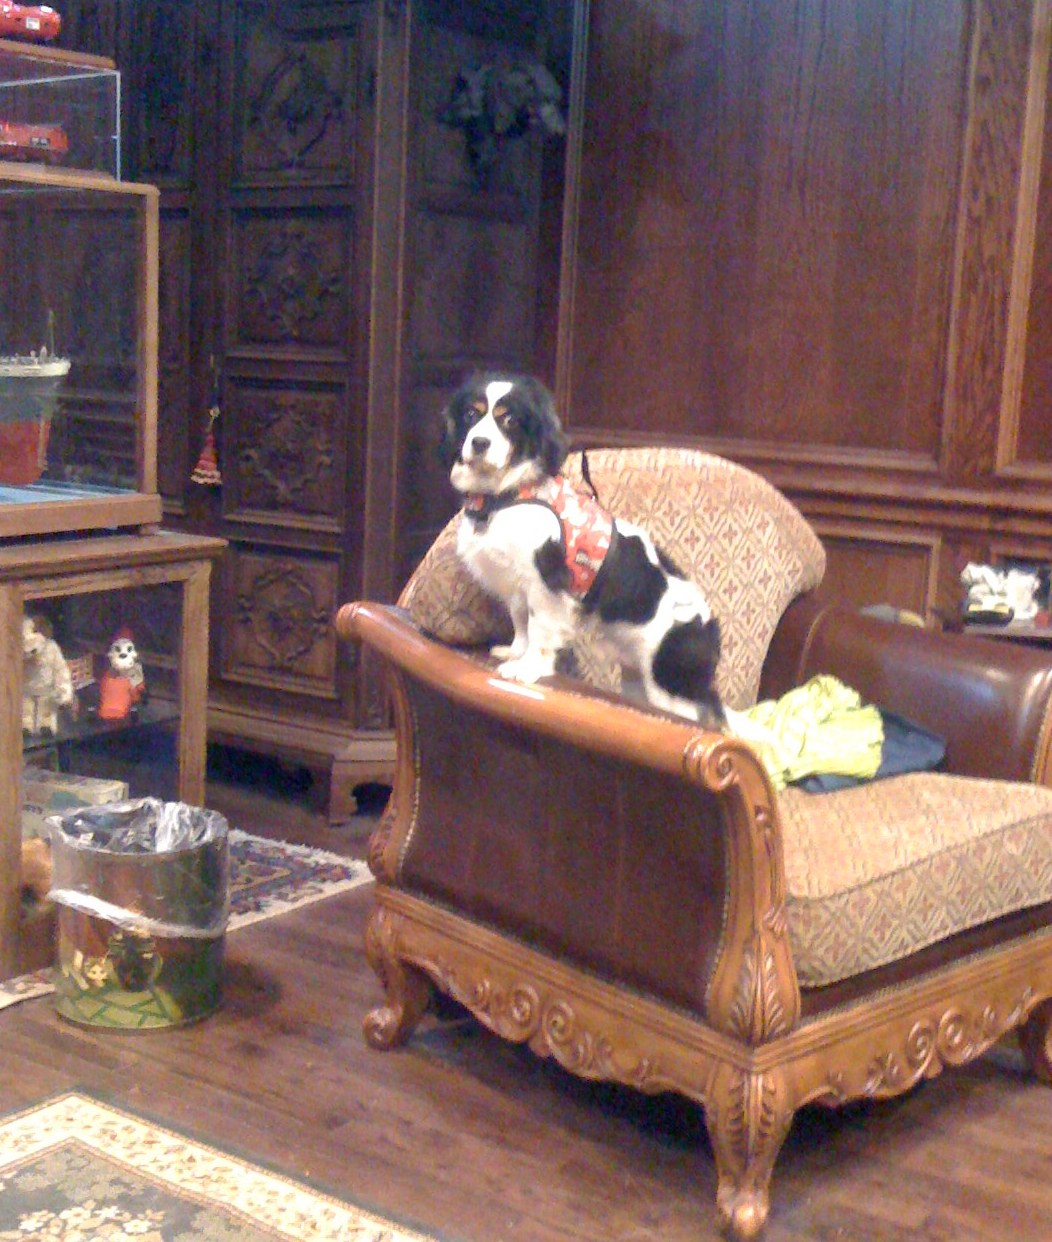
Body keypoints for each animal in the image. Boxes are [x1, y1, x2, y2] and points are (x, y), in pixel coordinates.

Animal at [438, 372, 725, 728]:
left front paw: (528, 667)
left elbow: (539, 628)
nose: (479, 442)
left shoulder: (546, 584)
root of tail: (707, 627)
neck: (507, 495)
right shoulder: (518, 583)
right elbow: (521, 620)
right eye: (470, 415)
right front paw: (516, 651)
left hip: (668, 689)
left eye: (510, 420)